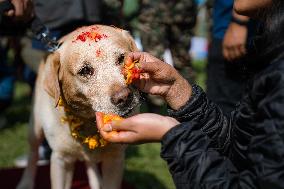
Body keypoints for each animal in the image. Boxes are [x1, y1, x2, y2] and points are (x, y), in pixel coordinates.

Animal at [16, 25, 141, 189]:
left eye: (122, 58)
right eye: (85, 70)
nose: (124, 97)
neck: (89, 122)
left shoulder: (115, 159)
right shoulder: (61, 159)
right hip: (35, 128)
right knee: (33, 154)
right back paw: (26, 182)